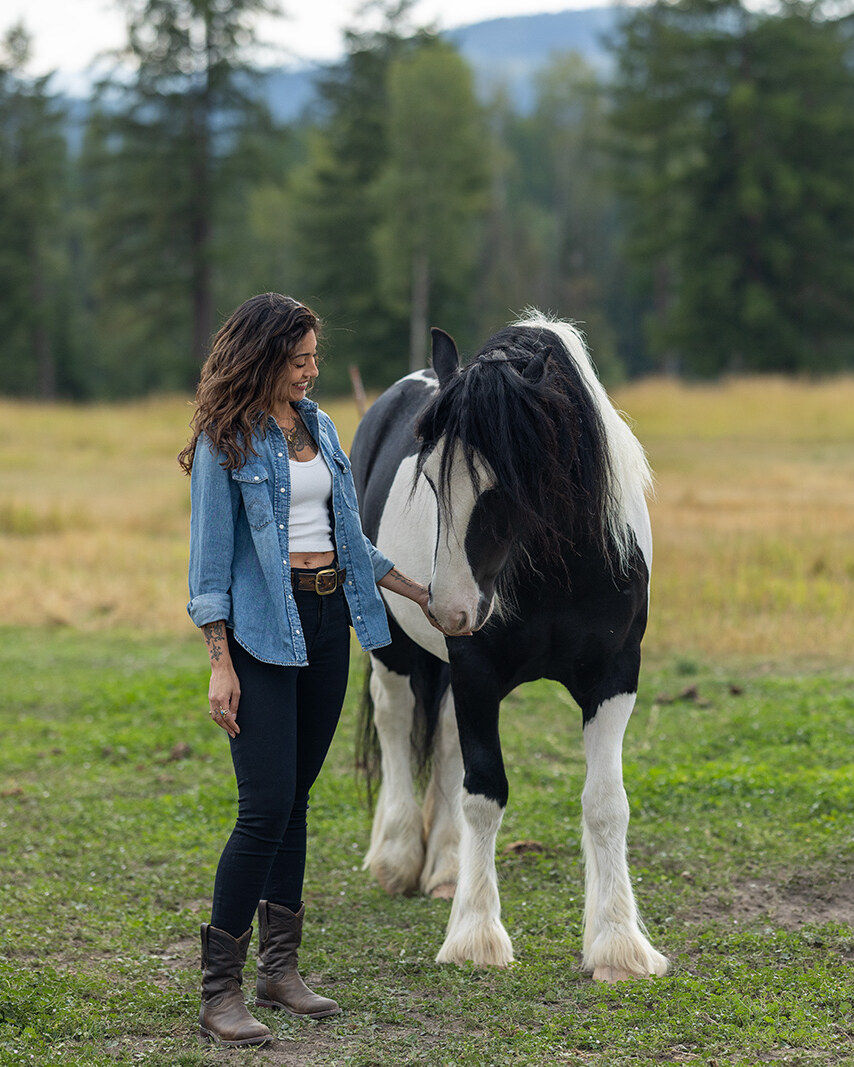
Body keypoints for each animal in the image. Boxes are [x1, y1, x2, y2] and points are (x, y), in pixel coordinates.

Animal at [349, 311, 668, 982]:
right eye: (428, 477)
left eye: (507, 486)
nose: (449, 610)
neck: (559, 571)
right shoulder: (477, 673)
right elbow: (484, 794)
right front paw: (475, 936)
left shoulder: (614, 677)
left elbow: (606, 802)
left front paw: (618, 944)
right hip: (394, 647)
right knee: (395, 721)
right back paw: (397, 858)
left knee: (443, 741)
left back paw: (444, 868)